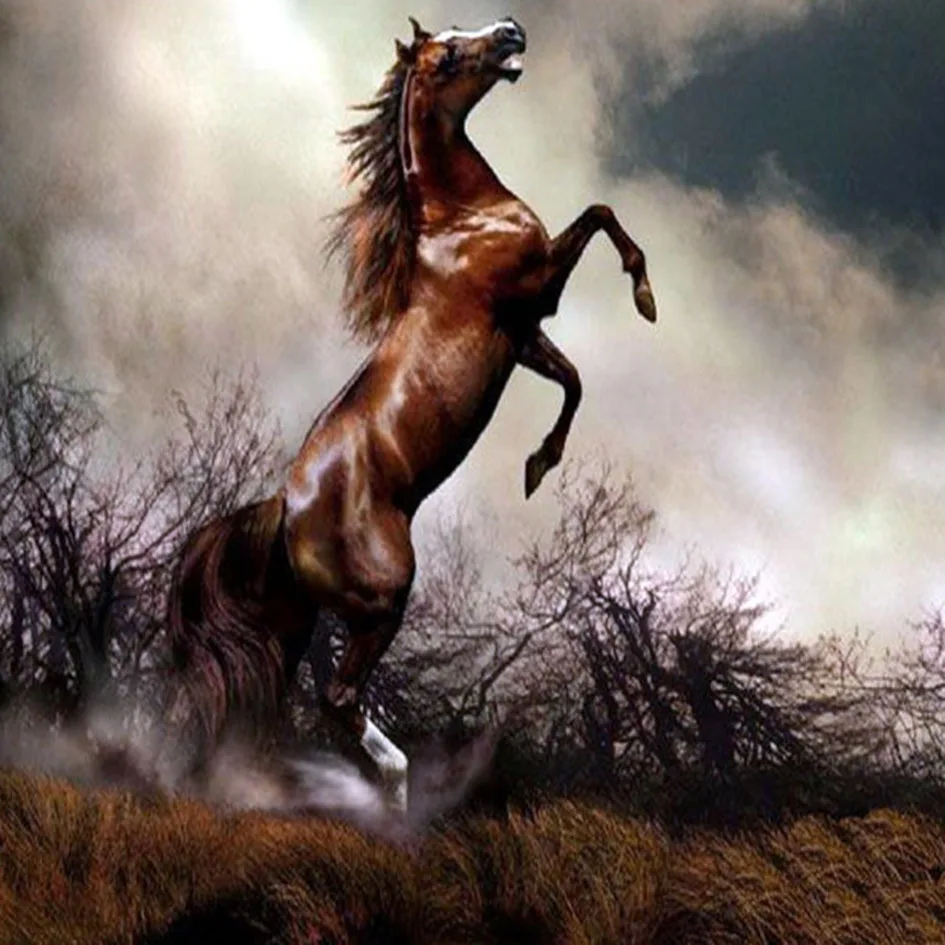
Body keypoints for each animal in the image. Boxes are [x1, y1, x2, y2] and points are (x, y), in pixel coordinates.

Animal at [162, 15, 656, 811]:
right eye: (449, 53)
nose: (512, 30)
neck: (461, 219)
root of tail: (283, 510)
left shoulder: (522, 337)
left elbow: (573, 381)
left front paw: (537, 467)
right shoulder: (539, 286)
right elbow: (601, 214)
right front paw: (645, 295)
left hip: (294, 624)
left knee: (282, 705)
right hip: (383, 597)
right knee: (337, 698)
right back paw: (395, 786)